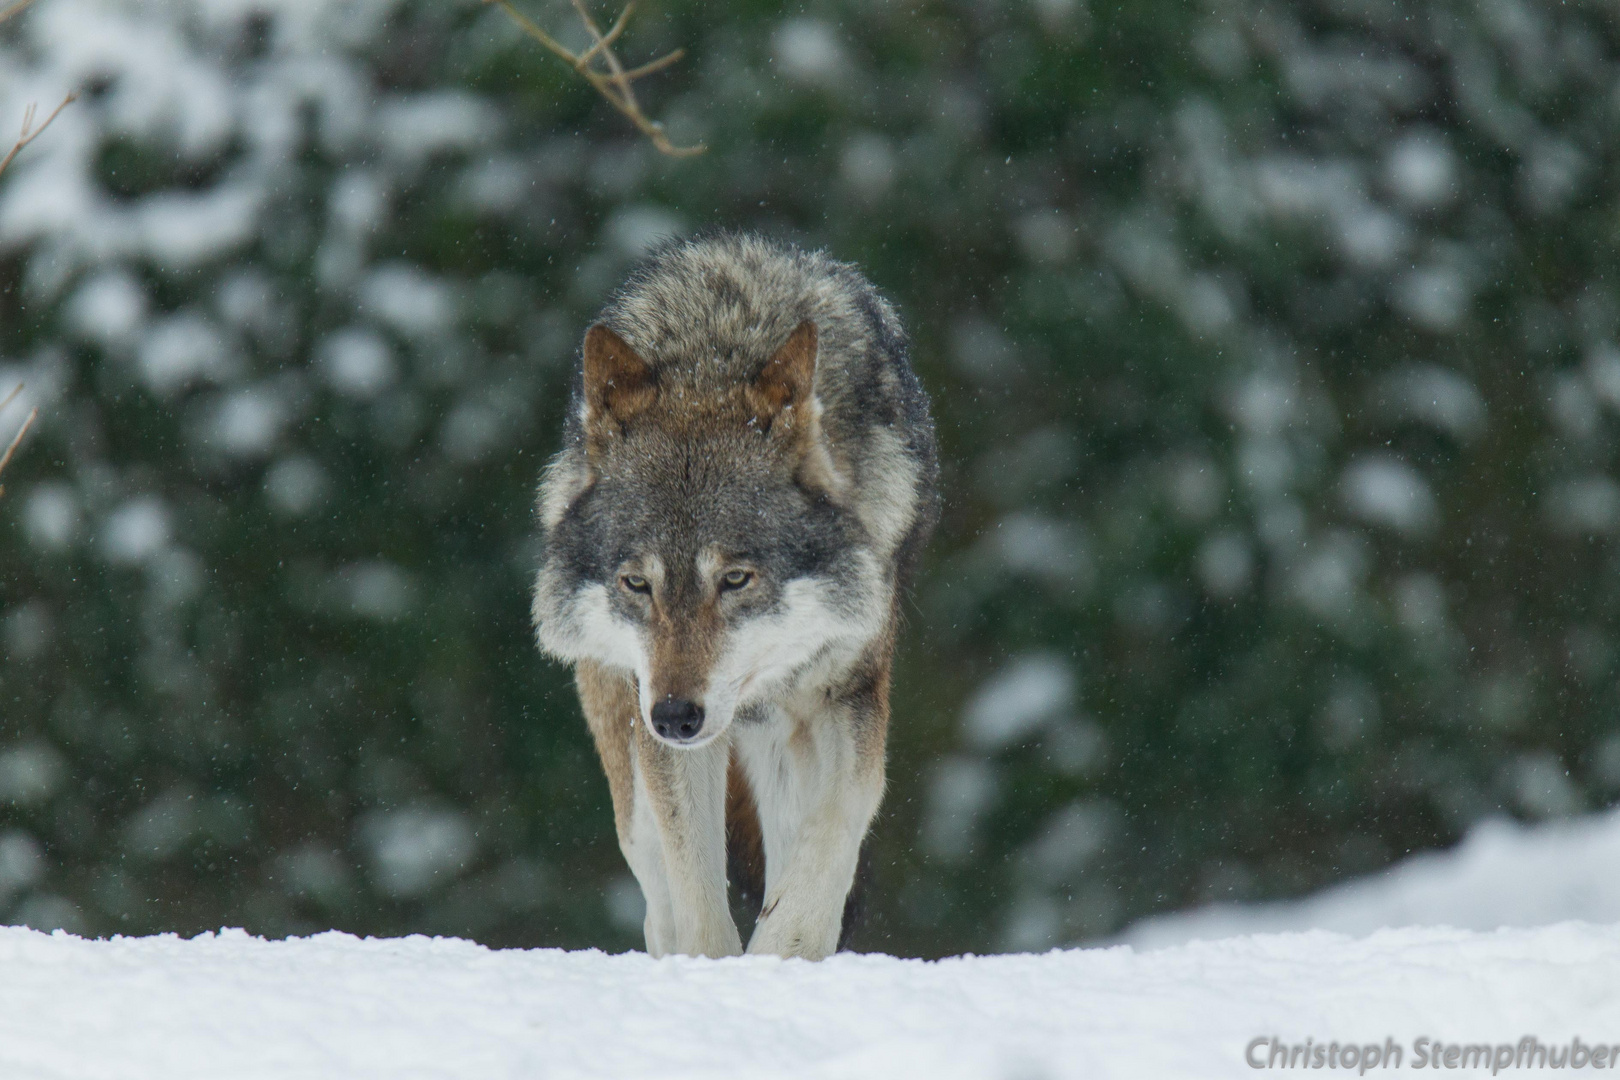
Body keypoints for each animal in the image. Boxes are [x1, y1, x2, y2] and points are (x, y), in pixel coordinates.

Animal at [531, 233, 939, 958]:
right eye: (637, 583)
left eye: (735, 579)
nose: (676, 716)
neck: (713, 354)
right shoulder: (657, 721)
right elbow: (694, 890)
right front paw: (713, 967)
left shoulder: (850, 692)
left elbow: (839, 822)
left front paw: (784, 953)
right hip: (623, 717)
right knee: (656, 885)